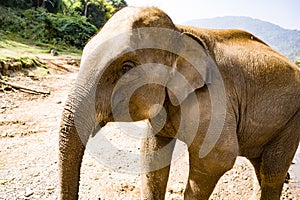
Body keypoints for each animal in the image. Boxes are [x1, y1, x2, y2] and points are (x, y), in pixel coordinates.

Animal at [58, 6, 300, 200]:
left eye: (127, 67)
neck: (179, 30)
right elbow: (152, 154)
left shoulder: (215, 98)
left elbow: (217, 158)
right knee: (261, 167)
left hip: (292, 121)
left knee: (272, 171)